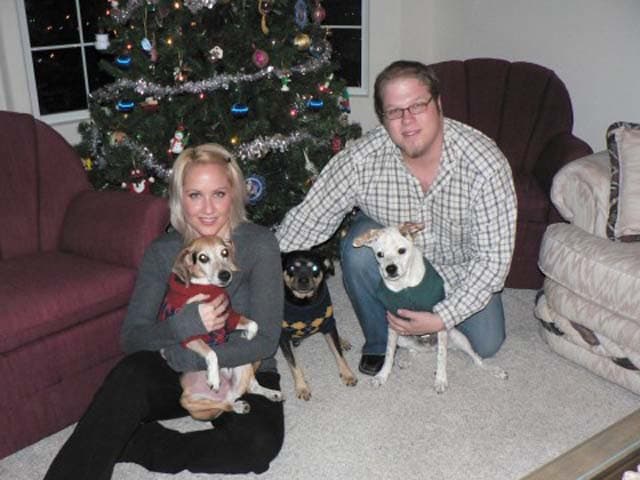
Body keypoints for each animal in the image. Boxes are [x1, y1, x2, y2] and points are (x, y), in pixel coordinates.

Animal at [159, 237, 280, 416]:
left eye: (224, 252)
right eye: (203, 258)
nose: (225, 275)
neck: (206, 287)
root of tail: (227, 393)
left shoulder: (228, 316)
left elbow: (253, 324)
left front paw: (247, 336)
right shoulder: (191, 335)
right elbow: (211, 353)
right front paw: (214, 378)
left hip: (243, 365)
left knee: (249, 388)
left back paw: (271, 394)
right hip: (188, 402)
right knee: (225, 405)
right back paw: (237, 405)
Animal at [282, 249, 358, 400]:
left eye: (315, 268)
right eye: (292, 267)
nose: (303, 280)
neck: (304, 303)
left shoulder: (328, 323)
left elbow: (339, 354)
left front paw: (347, 374)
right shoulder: (283, 336)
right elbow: (294, 365)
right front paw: (302, 387)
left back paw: (342, 341)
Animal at [352, 223, 508, 392]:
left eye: (401, 250)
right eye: (380, 254)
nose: (390, 269)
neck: (404, 286)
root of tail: (428, 348)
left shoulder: (438, 323)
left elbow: (441, 356)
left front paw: (440, 379)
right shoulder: (393, 325)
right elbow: (388, 354)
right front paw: (382, 376)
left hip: (458, 337)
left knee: (476, 359)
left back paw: (494, 370)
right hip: (402, 338)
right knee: (413, 351)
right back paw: (406, 360)